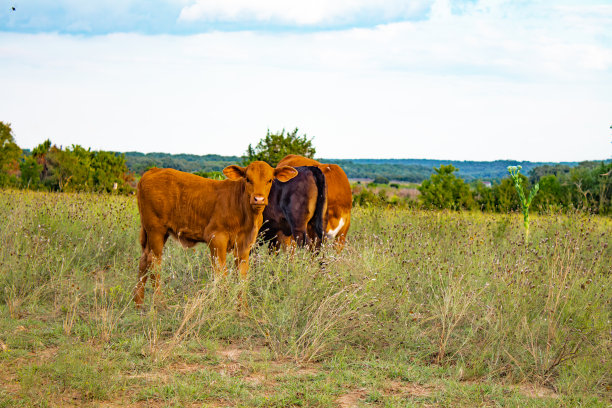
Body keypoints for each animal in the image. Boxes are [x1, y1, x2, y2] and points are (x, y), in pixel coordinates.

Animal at [134, 162, 298, 306]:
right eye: (247, 179)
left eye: (270, 180)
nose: (258, 199)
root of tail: (153, 171)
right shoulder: (216, 239)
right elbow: (221, 274)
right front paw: (223, 305)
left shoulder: (245, 245)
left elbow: (242, 276)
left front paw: (242, 310)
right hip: (156, 230)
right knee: (155, 264)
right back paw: (159, 304)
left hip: (156, 233)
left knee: (144, 260)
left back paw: (138, 305)